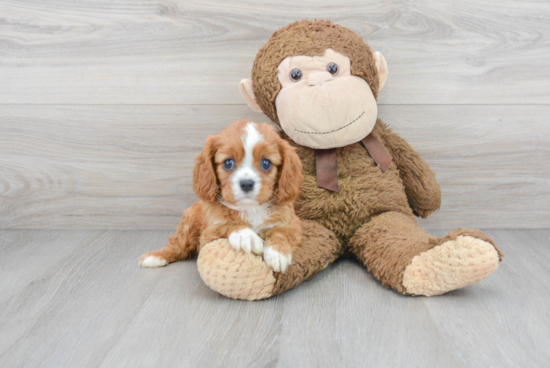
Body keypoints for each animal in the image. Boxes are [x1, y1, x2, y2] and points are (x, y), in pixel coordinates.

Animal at [137, 119, 302, 272]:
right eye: (228, 163)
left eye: (266, 163)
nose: (246, 184)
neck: (250, 209)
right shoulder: (207, 236)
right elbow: (226, 224)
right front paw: (245, 235)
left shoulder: (293, 223)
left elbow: (282, 231)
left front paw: (278, 252)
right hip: (190, 221)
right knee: (178, 245)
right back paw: (157, 256)